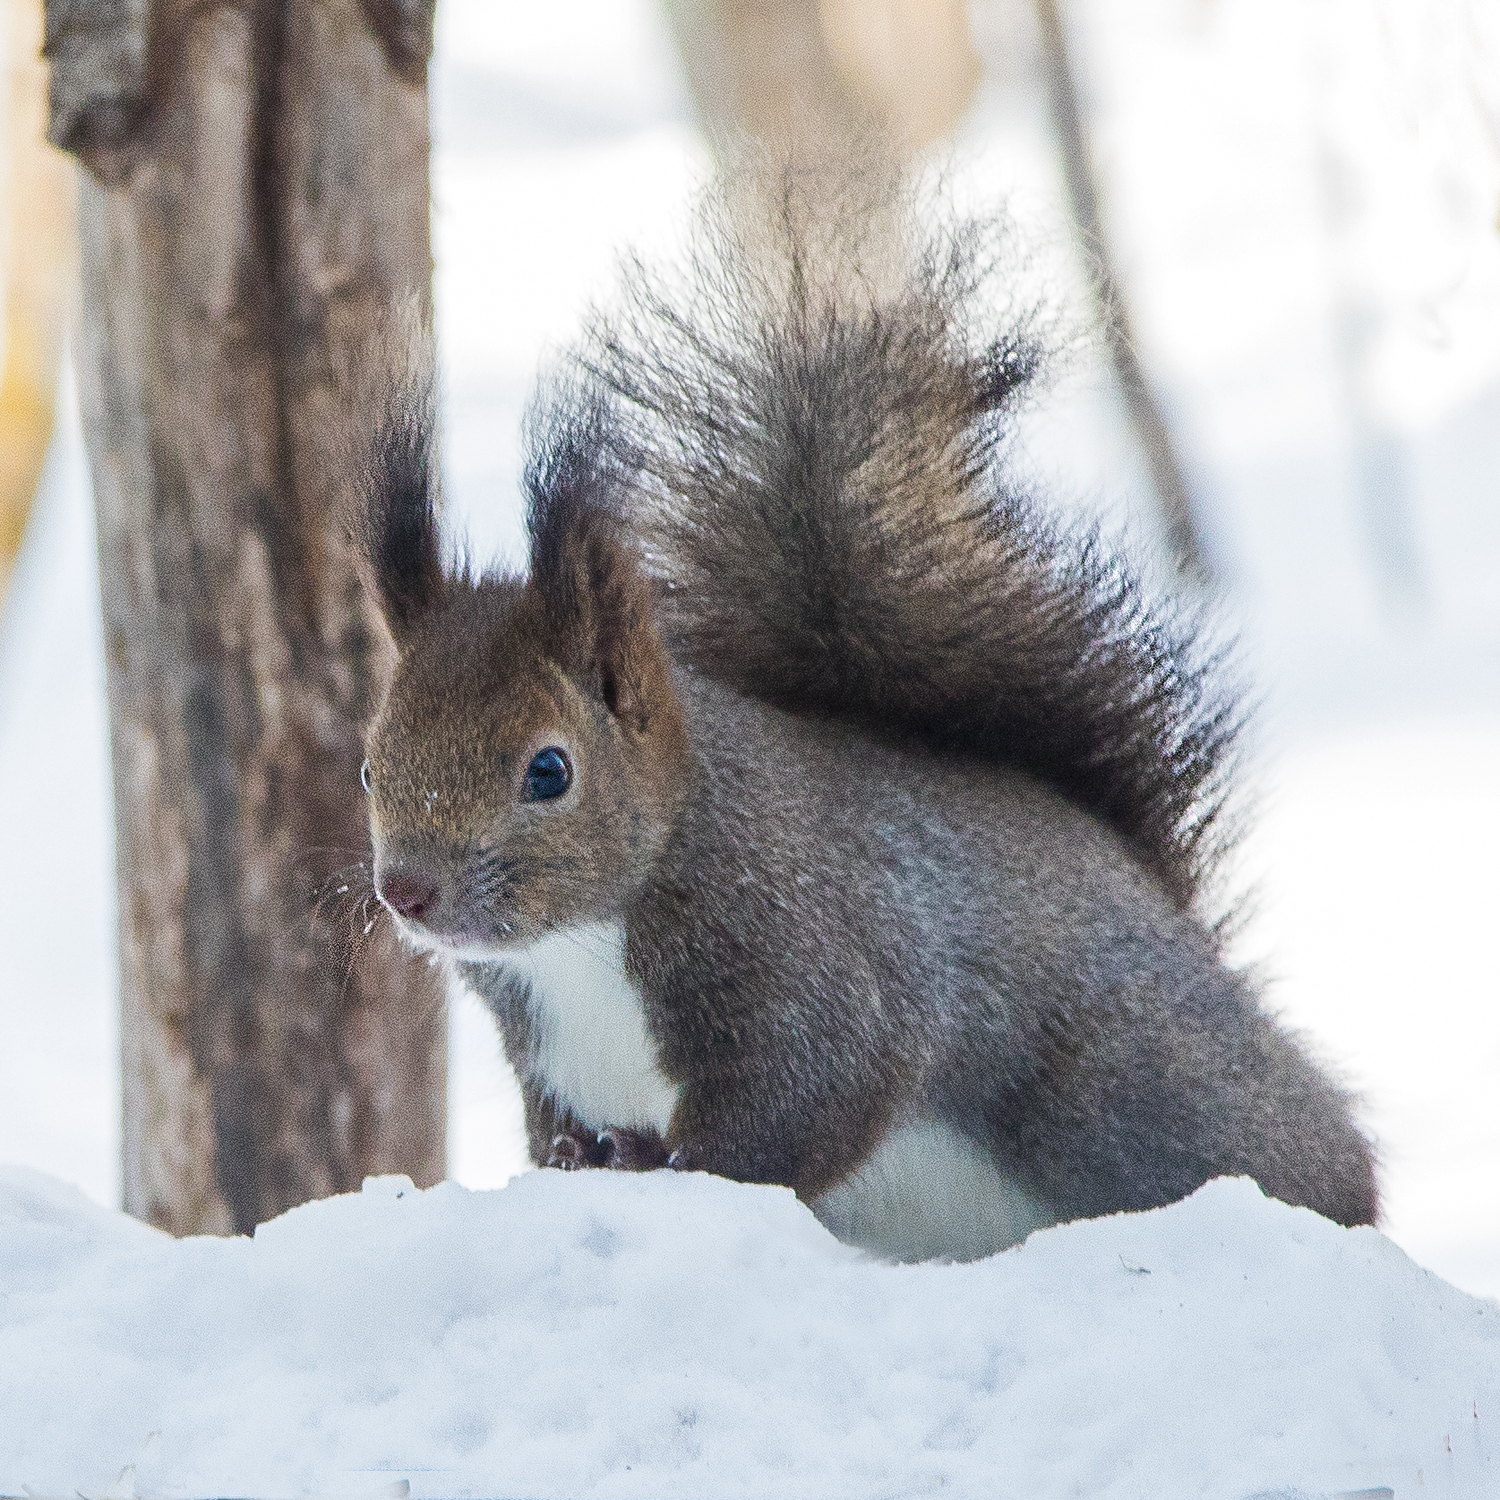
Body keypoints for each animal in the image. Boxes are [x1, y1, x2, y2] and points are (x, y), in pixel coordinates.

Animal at [350, 156, 1378, 1262]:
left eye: (549, 770)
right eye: (368, 765)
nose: (406, 892)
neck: (578, 948)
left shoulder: (811, 960)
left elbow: (812, 1105)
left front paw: (661, 1163)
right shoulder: (545, 1058)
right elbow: (565, 1135)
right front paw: (585, 1163)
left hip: (1126, 1100)